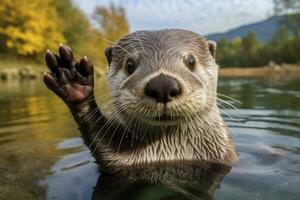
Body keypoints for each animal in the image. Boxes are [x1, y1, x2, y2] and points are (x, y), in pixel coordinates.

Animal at [43, 28, 238, 173]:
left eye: (191, 61)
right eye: (130, 65)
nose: (163, 85)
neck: (173, 153)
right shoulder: (121, 160)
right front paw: (72, 80)